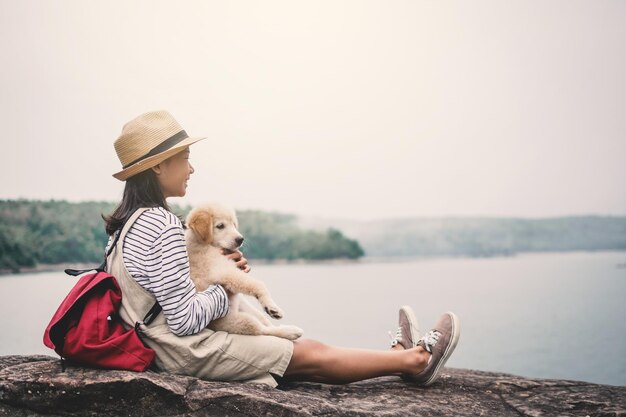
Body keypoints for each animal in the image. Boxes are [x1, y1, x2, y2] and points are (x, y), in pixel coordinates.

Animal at [183, 203, 302, 340]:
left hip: (245, 306)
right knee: (263, 330)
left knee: (265, 322)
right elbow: (258, 284)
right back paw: (291, 330)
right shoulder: (224, 271)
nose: (240, 239)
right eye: (220, 226)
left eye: (234, 224)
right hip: (239, 321)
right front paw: (271, 305)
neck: (204, 243)